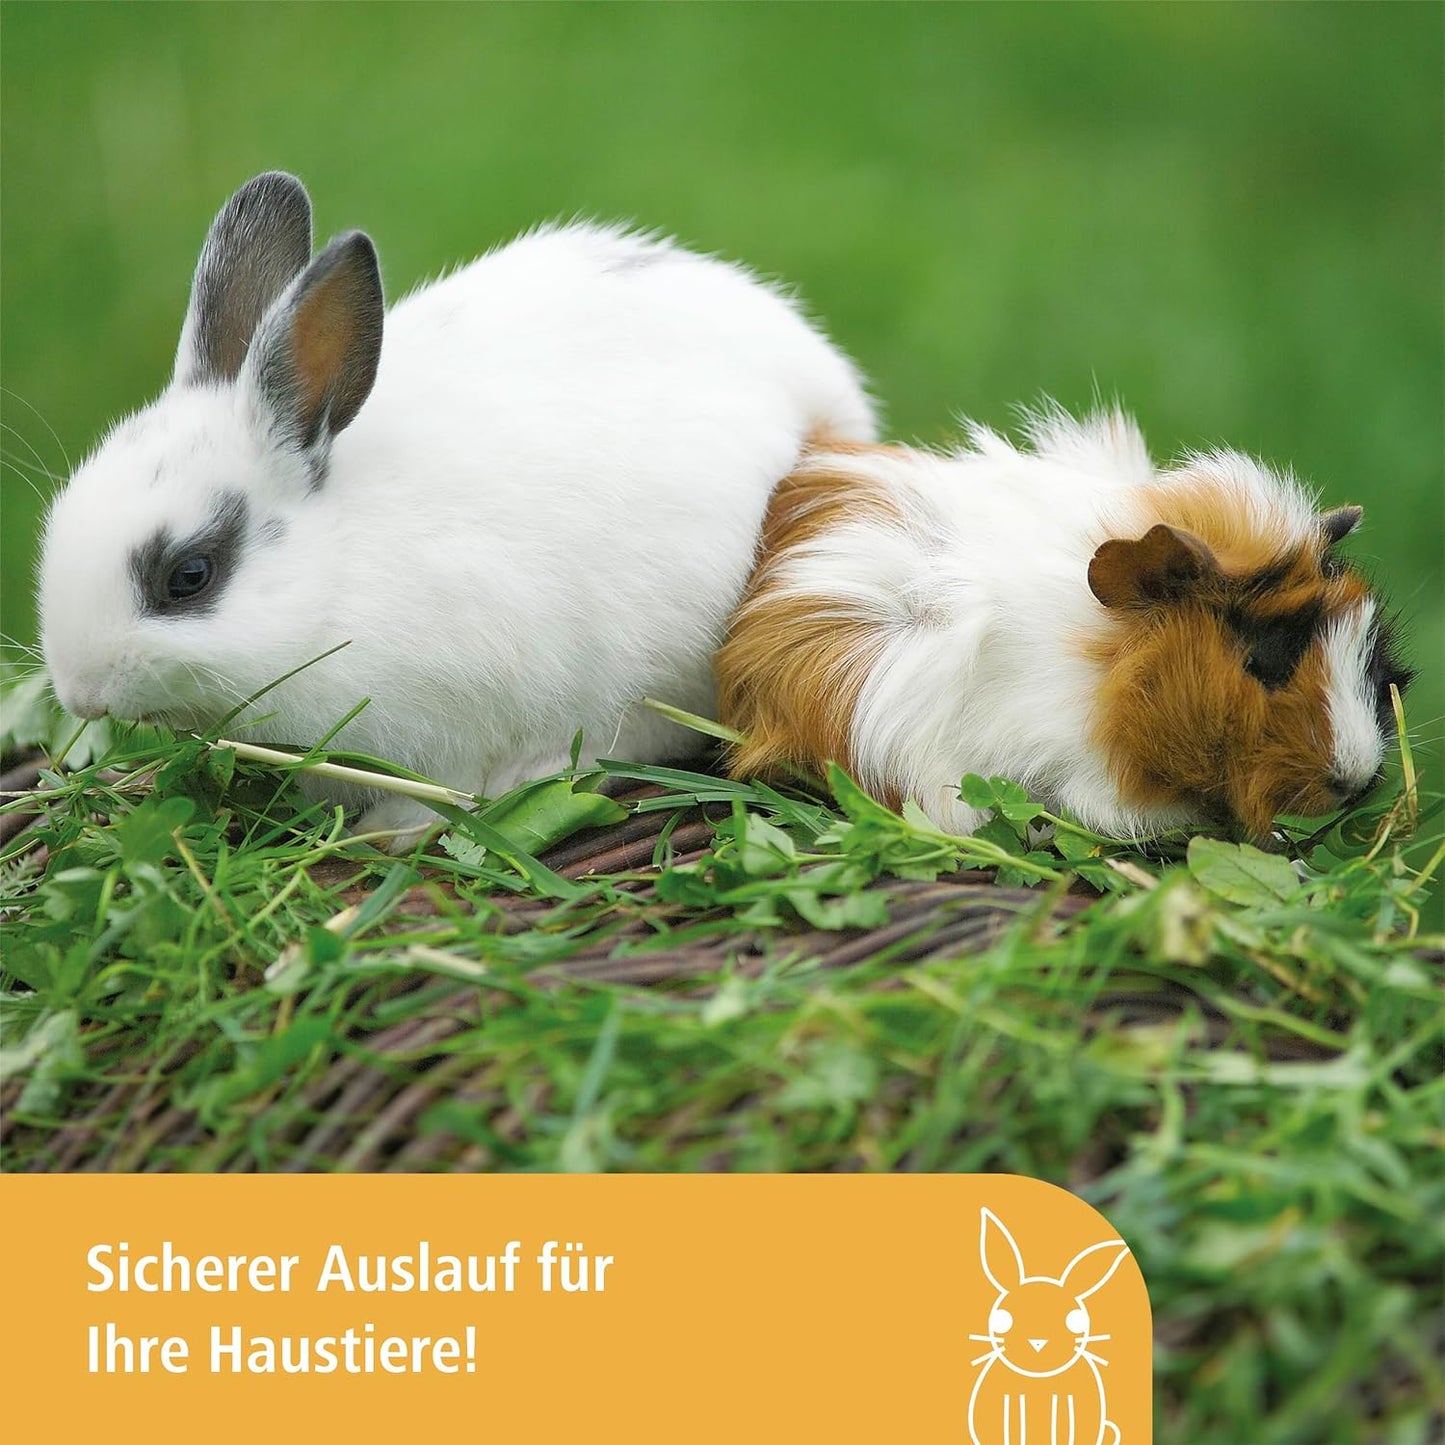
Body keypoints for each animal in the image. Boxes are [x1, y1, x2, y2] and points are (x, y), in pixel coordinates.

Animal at [38, 172, 876, 842]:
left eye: (189, 576)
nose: (79, 692)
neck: (336, 575)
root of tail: (828, 398)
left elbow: (448, 789)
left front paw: (389, 830)